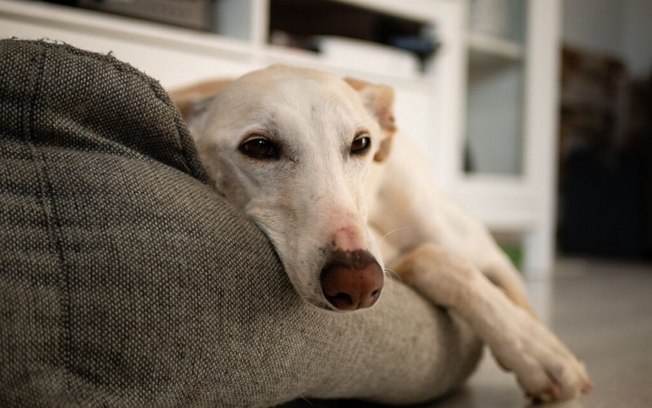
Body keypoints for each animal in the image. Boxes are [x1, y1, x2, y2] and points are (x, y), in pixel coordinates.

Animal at [168, 65, 592, 404]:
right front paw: (534, 353)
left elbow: (506, 294)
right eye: (258, 146)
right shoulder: (387, 257)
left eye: (361, 143)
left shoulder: (481, 254)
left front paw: (540, 352)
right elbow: (432, 261)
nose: (357, 284)